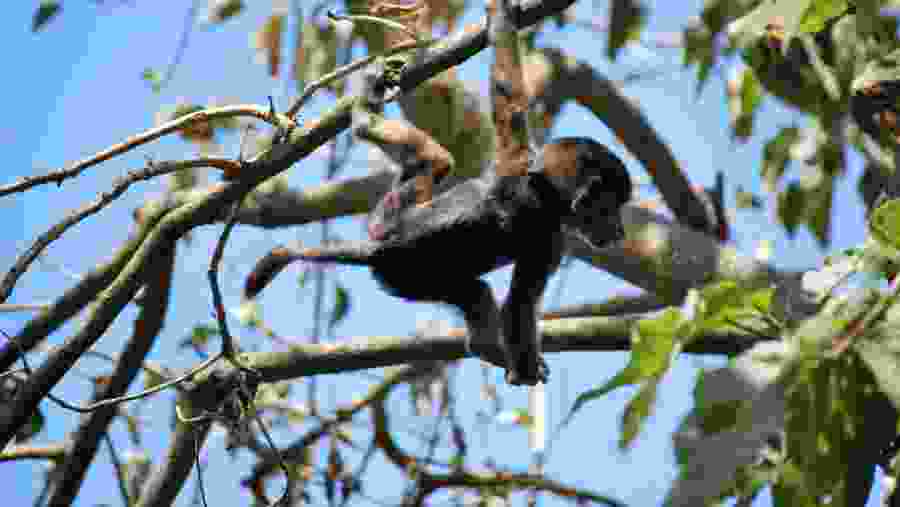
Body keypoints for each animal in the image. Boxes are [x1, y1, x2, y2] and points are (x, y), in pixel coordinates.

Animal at [244, 137, 632, 385]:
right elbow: (519, 304)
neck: (544, 186)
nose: (620, 229)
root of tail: (380, 247)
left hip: (388, 219)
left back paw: (426, 154)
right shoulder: (548, 237)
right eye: (609, 209)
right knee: (476, 292)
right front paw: (525, 374)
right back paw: (488, 350)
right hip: (408, 277)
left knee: (428, 174)